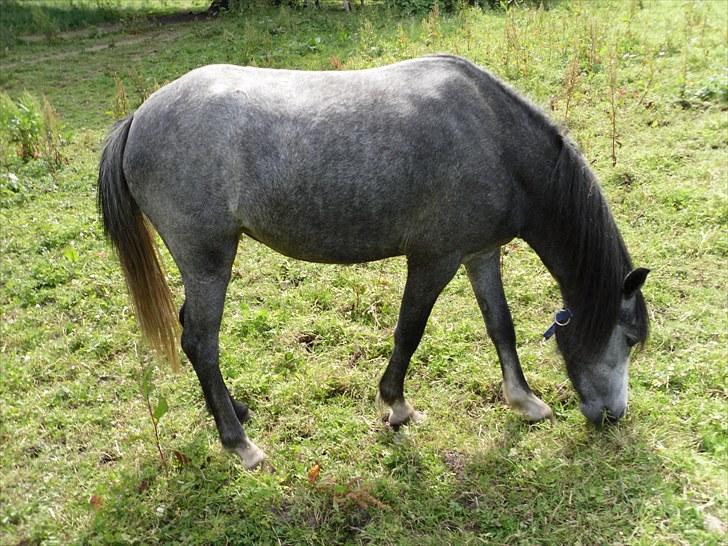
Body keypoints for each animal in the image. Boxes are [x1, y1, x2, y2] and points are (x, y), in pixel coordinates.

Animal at [96, 57, 648, 470]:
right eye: (627, 338)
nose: (613, 416)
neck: (495, 139)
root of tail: (137, 120)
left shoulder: (479, 254)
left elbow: (500, 326)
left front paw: (524, 401)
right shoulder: (434, 259)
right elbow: (410, 331)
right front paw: (396, 405)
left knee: (193, 337)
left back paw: (237, 411)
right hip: (209, 260)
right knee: (200, 342)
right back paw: (240, 445)